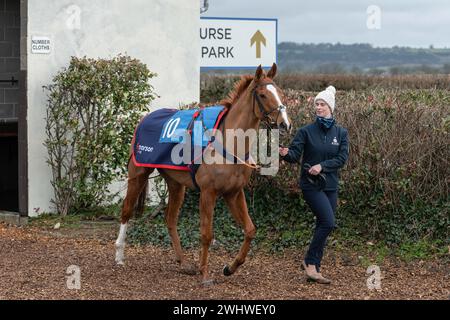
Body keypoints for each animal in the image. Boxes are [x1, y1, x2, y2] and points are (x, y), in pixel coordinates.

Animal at [115, 63, 292, 284]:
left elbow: (250, 230)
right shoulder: (208, 192)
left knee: (170, 219)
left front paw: (230, 268)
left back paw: (183, 263)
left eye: (280, 93)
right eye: (262, 95)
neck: (228, 143)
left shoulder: (234, 193)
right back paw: (119, 255)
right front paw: (205, 274)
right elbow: (206, 234)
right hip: (138, 174)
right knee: (126, 210)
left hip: (176, 184)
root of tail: (145, 118)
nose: (285, 124)